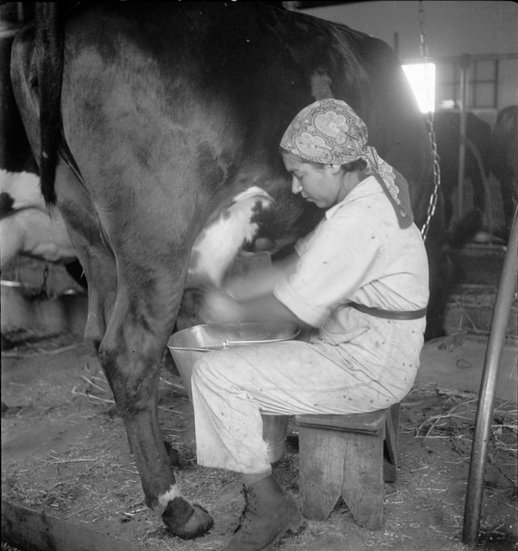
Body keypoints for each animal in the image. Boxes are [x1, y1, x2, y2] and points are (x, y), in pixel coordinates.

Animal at [10, 2, 442, 540]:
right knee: (128, 352)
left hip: (87, 228)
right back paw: (176, 507)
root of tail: (67, 15)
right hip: (157, 232)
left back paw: (168, 453)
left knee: (97, 332)